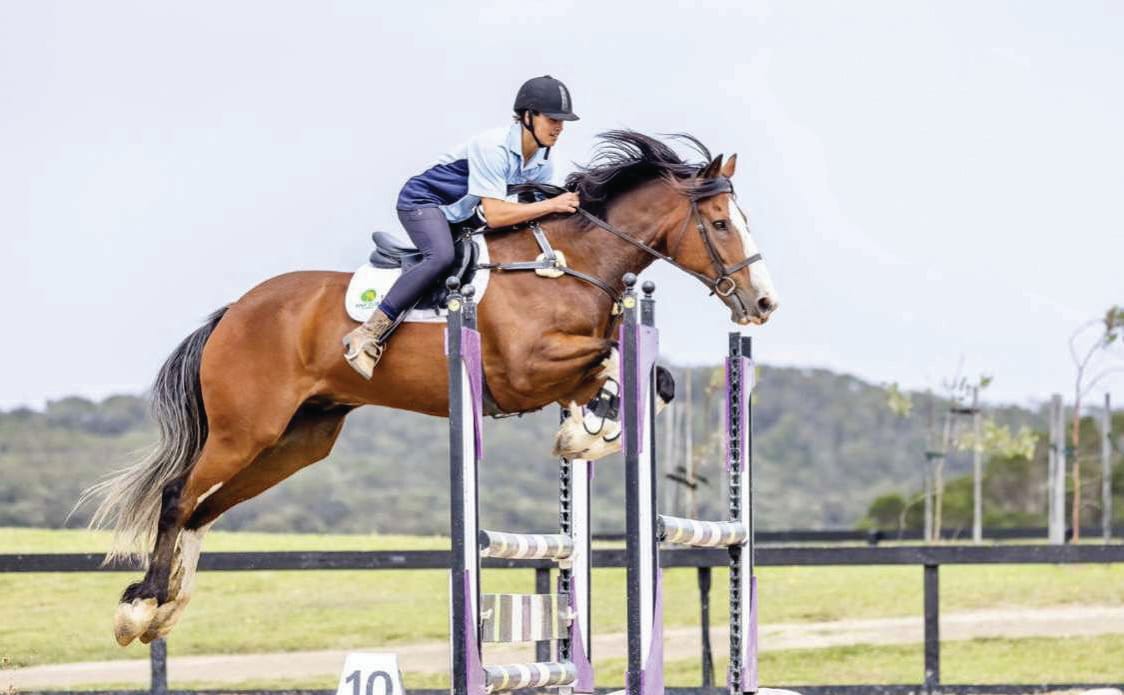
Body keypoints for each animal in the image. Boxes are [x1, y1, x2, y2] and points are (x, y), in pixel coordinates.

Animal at [80, 130, 780, 647]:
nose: (764, 303)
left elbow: (646, 377)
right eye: (721, 223)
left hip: (297, 441)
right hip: (244, 430)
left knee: (206, 508)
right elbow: (614, 360)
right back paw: (141, 606)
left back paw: (170, 606)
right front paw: (586, 434)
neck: (566, 264)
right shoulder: (524, 371)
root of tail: (234, 312)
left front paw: (587, 432)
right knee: (179, 495)